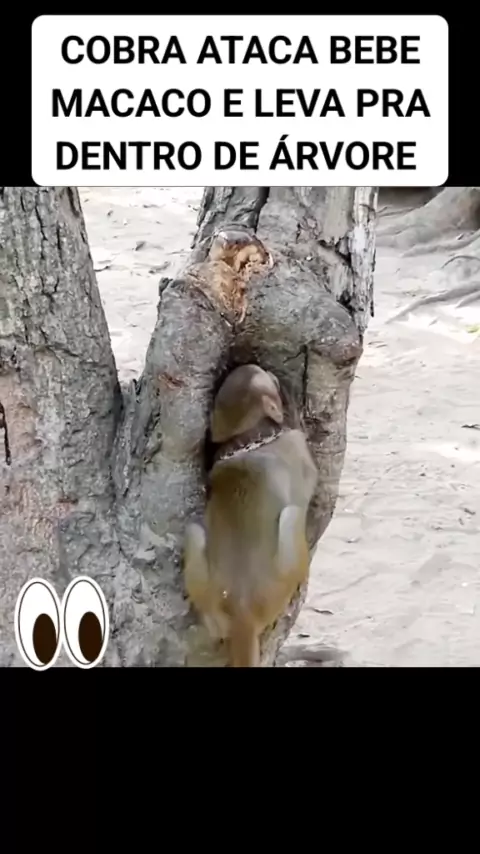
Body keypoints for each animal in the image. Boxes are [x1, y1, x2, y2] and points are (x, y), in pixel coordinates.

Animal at [184, 364, 318, 667]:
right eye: (263, 374)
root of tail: (240, 608)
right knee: (293, 516)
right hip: (278, 583)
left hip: (205, 579)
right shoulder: (298, 447)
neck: (251, 438)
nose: (272, 371)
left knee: (193, 531)